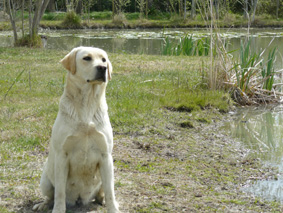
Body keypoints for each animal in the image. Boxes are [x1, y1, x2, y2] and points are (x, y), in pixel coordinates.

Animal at [33, 47, 120, 213]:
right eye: (87, 58)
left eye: (104, 59)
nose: (103, 68)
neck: (87, 102)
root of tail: (80, 199)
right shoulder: (62, 156)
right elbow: (59, 192)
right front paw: (58, 209)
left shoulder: (106, 156)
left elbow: (110, 192)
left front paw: (113, 208)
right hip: (45, 180)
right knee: (51, 195)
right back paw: (43, 204)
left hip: (108, 173)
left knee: (103, 192)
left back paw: (103, 200)